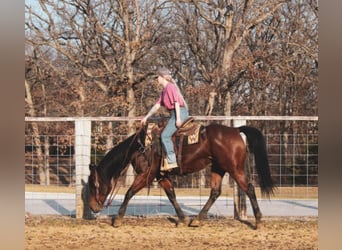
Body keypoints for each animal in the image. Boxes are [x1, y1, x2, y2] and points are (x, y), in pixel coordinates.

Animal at [88, 122, 276, 229]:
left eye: (94, 184)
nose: (93, 207)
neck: (141, 146)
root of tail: (236, 130)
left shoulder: (146, 174)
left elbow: (129, 193)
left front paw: (118, 219)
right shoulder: (161, 176)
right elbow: (171, 195)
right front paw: (183, 218)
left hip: (234, 168)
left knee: (249, 188)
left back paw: (258, 220)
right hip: (218, 168)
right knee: (215, 192)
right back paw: (197, 220)